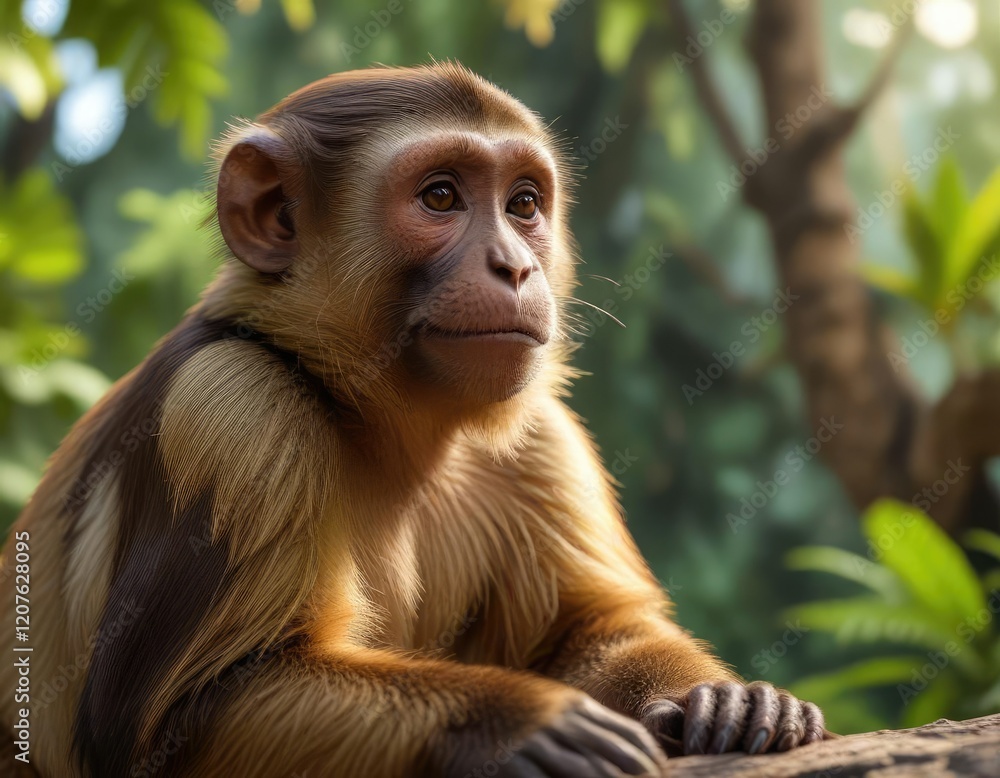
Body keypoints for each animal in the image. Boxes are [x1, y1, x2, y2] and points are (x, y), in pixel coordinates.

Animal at [0, 63, 826, 778]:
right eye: (439, 198)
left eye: (523, 205)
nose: (515, 267)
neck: (376, 421)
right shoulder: (229, 410)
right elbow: (168, 723)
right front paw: (515, 724)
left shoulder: (541, 438)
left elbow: (591, 633)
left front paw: (725, 701)